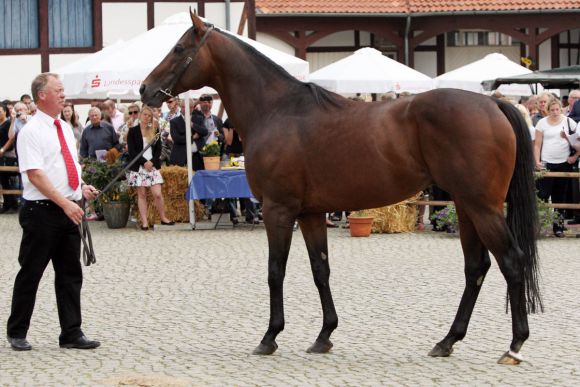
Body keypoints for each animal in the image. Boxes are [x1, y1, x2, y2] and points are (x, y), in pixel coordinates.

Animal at [140, 10, 544, 366]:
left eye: (178, 48)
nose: (145, 89)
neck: (277, 111)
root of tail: (493, 105)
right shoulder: (311, 213)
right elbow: (321, 269)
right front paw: (324, 336)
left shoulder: (278, 209)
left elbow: (275, 271)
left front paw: (270, 337)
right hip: (465, 206)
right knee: (476, 267)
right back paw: (447, 341)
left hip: (482, 206)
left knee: (511, 261)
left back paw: (514, 346)